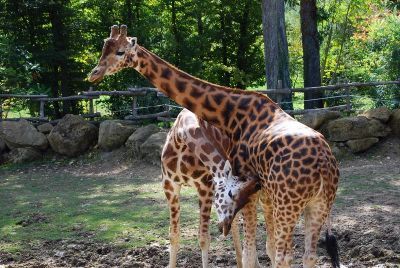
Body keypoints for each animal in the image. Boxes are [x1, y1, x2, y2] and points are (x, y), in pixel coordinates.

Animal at [161, 108, 260, 266]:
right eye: (231, 194)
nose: (224, 227)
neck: (180, 138)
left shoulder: (205, 187)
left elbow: (204, 239)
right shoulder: (169, 185)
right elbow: (173, 235)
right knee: (238, 223)